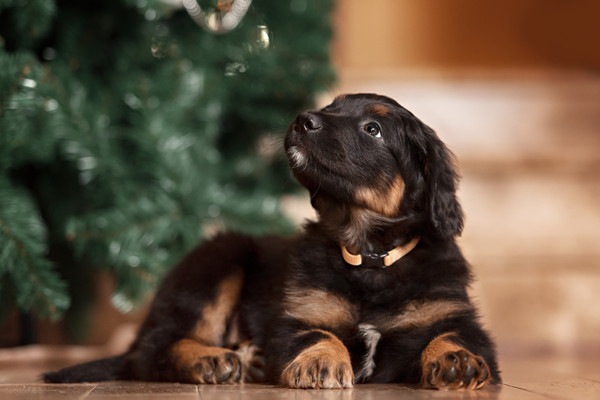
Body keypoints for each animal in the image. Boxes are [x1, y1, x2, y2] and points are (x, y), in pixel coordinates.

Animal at [44, 93, 500, 388]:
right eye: (331, 107)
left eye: (373, 129)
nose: (303, 119)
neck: (369, 255)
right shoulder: (295, 318)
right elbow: (318, 334)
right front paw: (320, 363)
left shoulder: (455, 317)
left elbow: (453, 336)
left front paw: (457, 361)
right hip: (218, 259)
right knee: (153, 349)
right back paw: (212, 360)